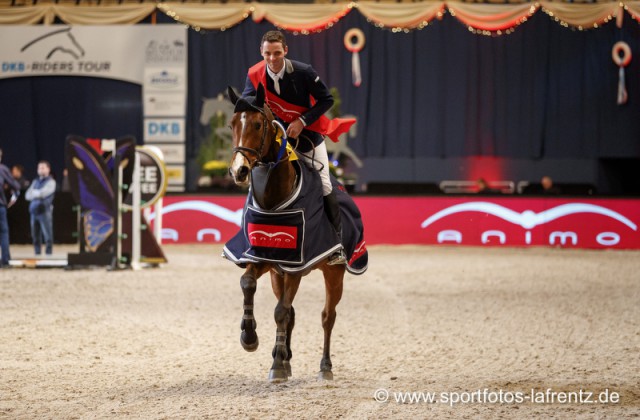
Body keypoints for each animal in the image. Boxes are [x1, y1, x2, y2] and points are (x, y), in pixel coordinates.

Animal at [225, 83, 344, 382]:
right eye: (232, 124)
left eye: (258, 124)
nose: (239, 170)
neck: (273, 198)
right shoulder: (264, 258)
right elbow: (248, 284)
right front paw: (250, 338)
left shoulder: (295, 267)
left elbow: (281, 311)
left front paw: (277, 365)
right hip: (277, 275)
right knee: (292, 312)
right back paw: (286, 358)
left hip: (334, 274)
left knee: (327, 316)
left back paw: (325, 367)